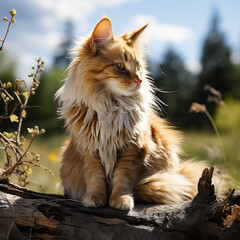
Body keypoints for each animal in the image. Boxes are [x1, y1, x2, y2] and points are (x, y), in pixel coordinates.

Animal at [55, 17, 205, 210]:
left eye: (139, 67)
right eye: (120, 66)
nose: (139, 80)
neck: (111, 106)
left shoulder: (134, 149)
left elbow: (123, 178)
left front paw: (120, 199)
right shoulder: (90, 150)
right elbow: (95, 177)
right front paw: (95, 198)